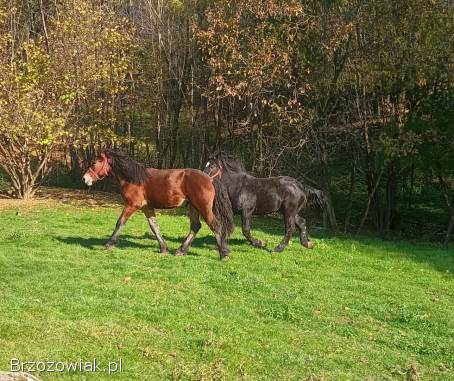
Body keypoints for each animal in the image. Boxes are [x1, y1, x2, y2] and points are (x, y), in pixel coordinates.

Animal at [82, 150, 236, 260]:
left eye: (94, 163)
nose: (85, 179)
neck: (134, 178)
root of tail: (209, 179)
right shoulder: (147, 207)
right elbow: (154, 227)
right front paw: (164, 248)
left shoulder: (132, 205)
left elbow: (120, 222)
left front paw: (109, 243)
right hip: (194, 207)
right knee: (195, 226)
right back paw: (181, 251)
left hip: (203, 208)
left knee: (215, 226)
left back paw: (223, 254)